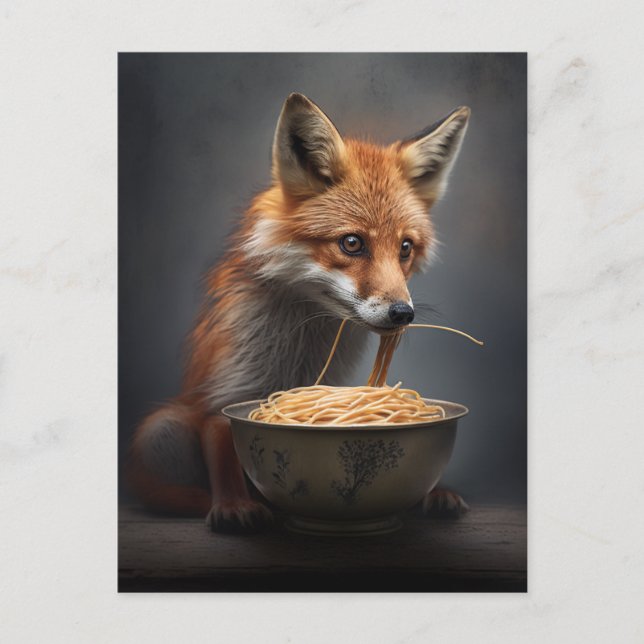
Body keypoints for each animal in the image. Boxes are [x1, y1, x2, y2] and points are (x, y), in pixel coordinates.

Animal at [126, 92, 471, 532]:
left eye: (405, 248)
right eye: (352, 243)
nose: (402, 314)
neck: (299, 353)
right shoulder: (227, 393)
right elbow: (225, 454)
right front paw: (234, 507)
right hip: (160, 429)